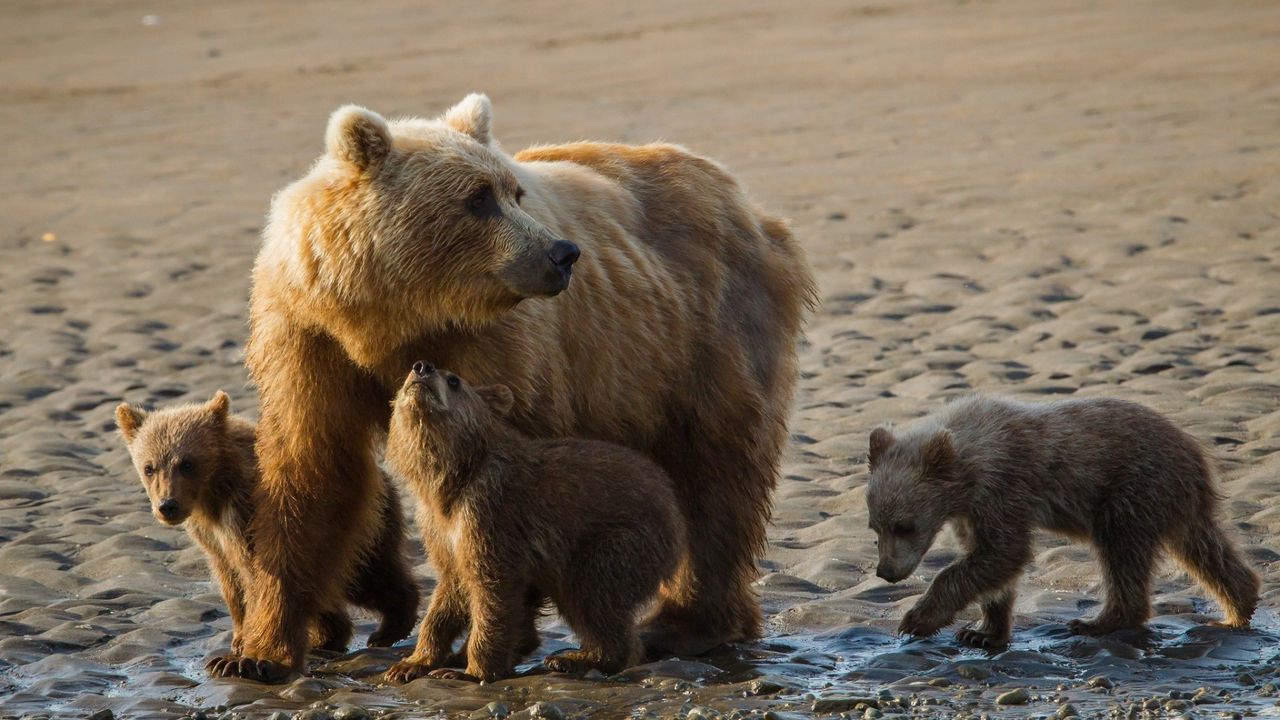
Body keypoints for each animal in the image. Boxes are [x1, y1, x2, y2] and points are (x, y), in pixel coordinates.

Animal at [220, 95, 814, 676]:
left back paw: (685, 624)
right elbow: (313, 473)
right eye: (479, 198)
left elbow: (512, 476)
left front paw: (487, 644)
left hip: (706, 333)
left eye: (514, 191)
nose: (562, 253)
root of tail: (747, 203)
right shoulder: (309, 339)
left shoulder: (493, 346)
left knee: (716, 473)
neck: (387, 318)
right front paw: (257, 653)